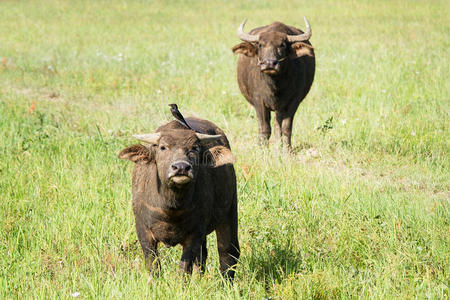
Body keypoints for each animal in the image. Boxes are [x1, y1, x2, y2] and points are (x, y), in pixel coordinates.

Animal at [118, 116, 239, 278]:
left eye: (194, 148)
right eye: (163, 147)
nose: (181, 167)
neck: (171, 208)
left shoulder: (195, 234)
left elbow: (185, 267)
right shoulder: (143, 230)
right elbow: (153, 264)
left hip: (230, 209)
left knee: (228, 252)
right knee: (203, 256)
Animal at [232, 16, 316, 148]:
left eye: (282, 45)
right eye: (260, 45)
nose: (270, 63)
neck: (275, 86)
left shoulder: (293, 102)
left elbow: (286, 128)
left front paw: (287, 149)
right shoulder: (259, 101)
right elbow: (265, 128)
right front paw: (261, 148)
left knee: (278, 125)